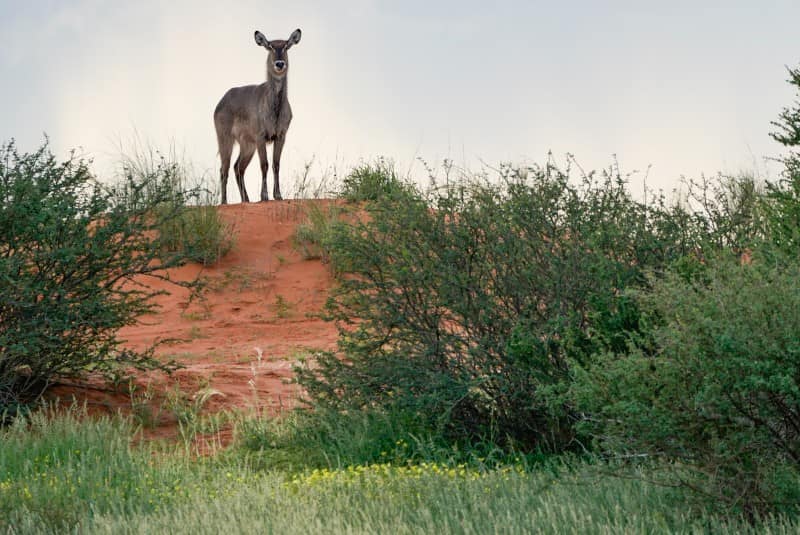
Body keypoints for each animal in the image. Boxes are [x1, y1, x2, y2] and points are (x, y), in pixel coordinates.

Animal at [212, 29, 300, 205]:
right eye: (270, 46)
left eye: (286, 46)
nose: (279, 64)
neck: (274, 110)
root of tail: (221, 102)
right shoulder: (261, 136)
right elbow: (264, 164)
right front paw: (264, 196)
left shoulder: (281, 136)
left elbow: (276, 164)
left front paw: (278, 195)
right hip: (225, 138)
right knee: (224, 168)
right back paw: (224, 202)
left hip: (247, 145)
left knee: (238, 167)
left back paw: (245, 199)